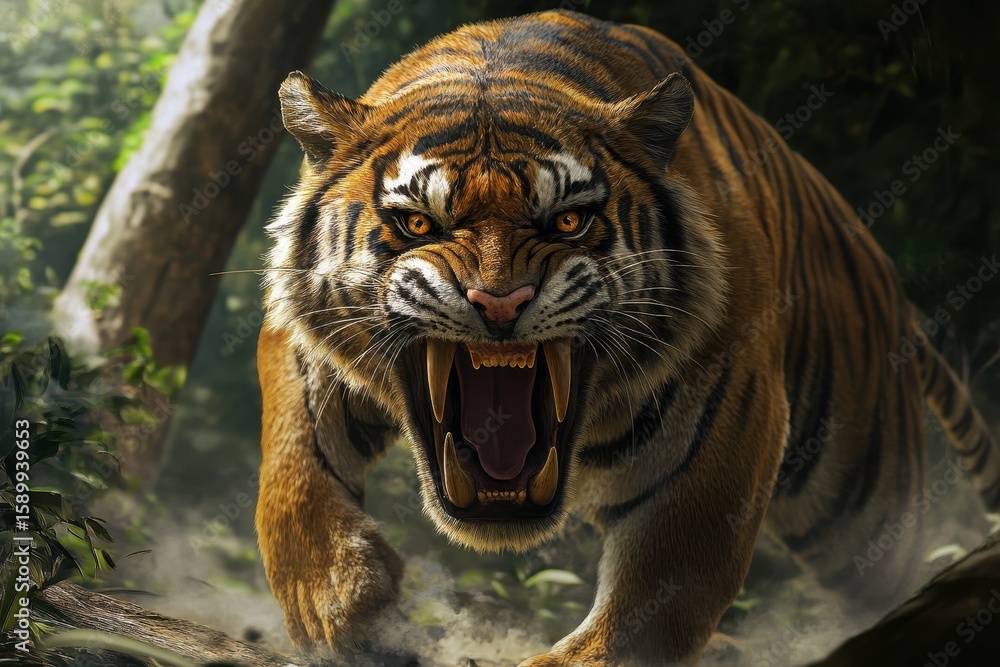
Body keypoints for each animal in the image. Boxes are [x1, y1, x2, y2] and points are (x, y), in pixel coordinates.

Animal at [255, 9, 1000, 666]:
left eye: (568, 221)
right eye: (417, 224)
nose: (500, 302)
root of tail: (884, 271)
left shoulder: (728, 402)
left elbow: (662, 587)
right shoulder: (298, 341)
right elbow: (293, 472)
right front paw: (337, 602)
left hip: (863, 503)